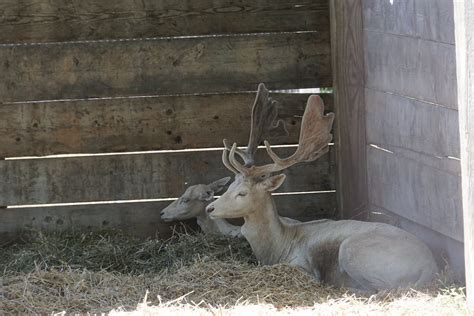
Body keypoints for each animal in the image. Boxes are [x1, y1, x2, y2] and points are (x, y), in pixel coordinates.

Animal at [206, 89, 438, 292]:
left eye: (243, 193)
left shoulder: (302, 265)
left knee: (385, 289)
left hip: (351, 251)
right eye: (230, 185)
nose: (210, 208)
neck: (278, 246)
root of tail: (430, 267)